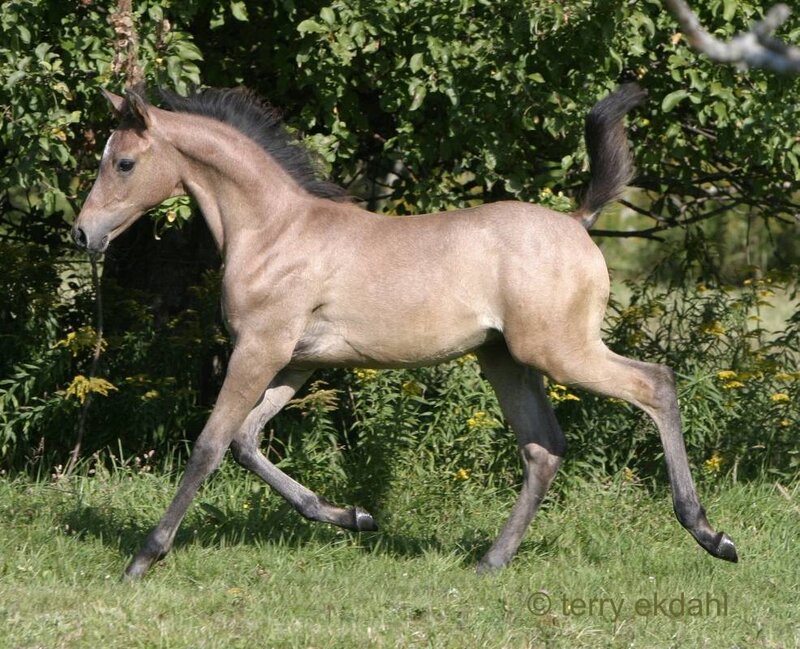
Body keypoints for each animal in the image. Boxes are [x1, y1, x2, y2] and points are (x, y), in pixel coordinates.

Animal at [73, 83, 737, 579]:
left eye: (124, 162)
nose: (83, 233)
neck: (275, 230)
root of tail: (579, 222)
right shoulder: (295, 360)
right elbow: (246, 441)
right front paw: (354, 517)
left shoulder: (260, 350)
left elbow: (210, 445)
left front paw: (143, 558)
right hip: (506, 359)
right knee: (544, 447)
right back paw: (490, 562)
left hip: (560, 351)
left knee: (655, 384)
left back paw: (710, 534)